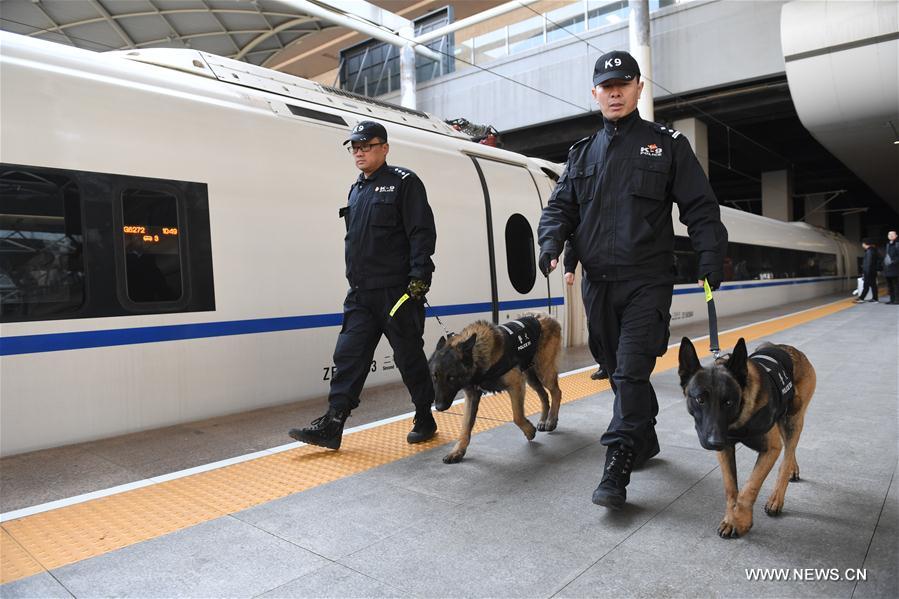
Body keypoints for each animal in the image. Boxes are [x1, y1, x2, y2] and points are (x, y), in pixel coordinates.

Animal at [428, 314, 564, 464]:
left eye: (451, 378)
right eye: (434, 376)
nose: (439, 407)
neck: (477, 355)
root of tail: (547, 317)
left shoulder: (516, 384)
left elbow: (517, 416)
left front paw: (529, 431)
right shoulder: (472, 396)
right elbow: (465, 427)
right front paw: (457, 451)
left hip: (543, 372)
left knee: (556, 392)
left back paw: (551, 420)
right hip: (531, 377)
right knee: (544, 395)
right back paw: (543, 420)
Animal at [684, 338, 816, 540]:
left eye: (728, 402)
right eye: (700, 400)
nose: (714, 442)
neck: (739, 419)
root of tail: (788, 348)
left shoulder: (770, 449)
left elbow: (749, 487)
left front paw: (742, 521)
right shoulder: (725, 450)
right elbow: (731, 489)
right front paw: (731, 519)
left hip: (793, 420)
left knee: (786, 457)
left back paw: (777, 497)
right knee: (790, 450)